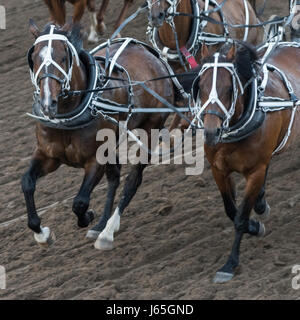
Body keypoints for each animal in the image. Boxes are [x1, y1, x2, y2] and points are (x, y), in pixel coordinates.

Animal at [22, 20, 175, 250]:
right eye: (34, 58)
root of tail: (148, 52)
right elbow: (27, 183)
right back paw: (102, 225)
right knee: (115, 176)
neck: (68, 117)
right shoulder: (48, 156)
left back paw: (108, 231)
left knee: (132, 180)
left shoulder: (95, 159)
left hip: (150, 129)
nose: (48, 103)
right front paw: (42, 234)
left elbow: (80, 201)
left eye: (64, 57)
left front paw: (88, 216)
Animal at [189, 42, 300, 282]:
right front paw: (256, 224)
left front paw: (230, 264)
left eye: (229, 89)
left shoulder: (256, 172)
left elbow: (240, 217)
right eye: (199, 86)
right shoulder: (218, 170)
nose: (211, 132)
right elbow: (231, 210)